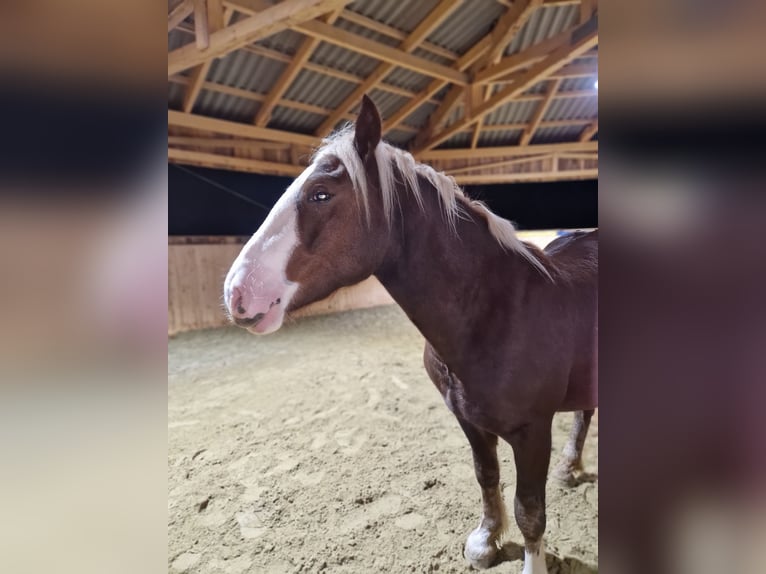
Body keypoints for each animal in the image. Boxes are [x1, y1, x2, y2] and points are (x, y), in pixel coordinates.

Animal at [223, 95, 598, 573]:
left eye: (320, 194)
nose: (237, 292)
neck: (494, 312)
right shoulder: (468, 420)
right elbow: (486, 476)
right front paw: (486, 540)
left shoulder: (533, 431)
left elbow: (530, 511)